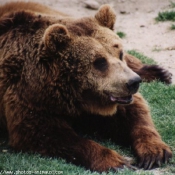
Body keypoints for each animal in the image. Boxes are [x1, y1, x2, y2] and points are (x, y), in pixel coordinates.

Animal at [0, 1, 172, 173]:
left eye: (119, 53)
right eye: (100, 62)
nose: (133, 82)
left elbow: (134, 113)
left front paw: (154, 152)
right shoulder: (30, 96)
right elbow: (43, 133)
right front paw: (117, 161)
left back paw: (159, 72)